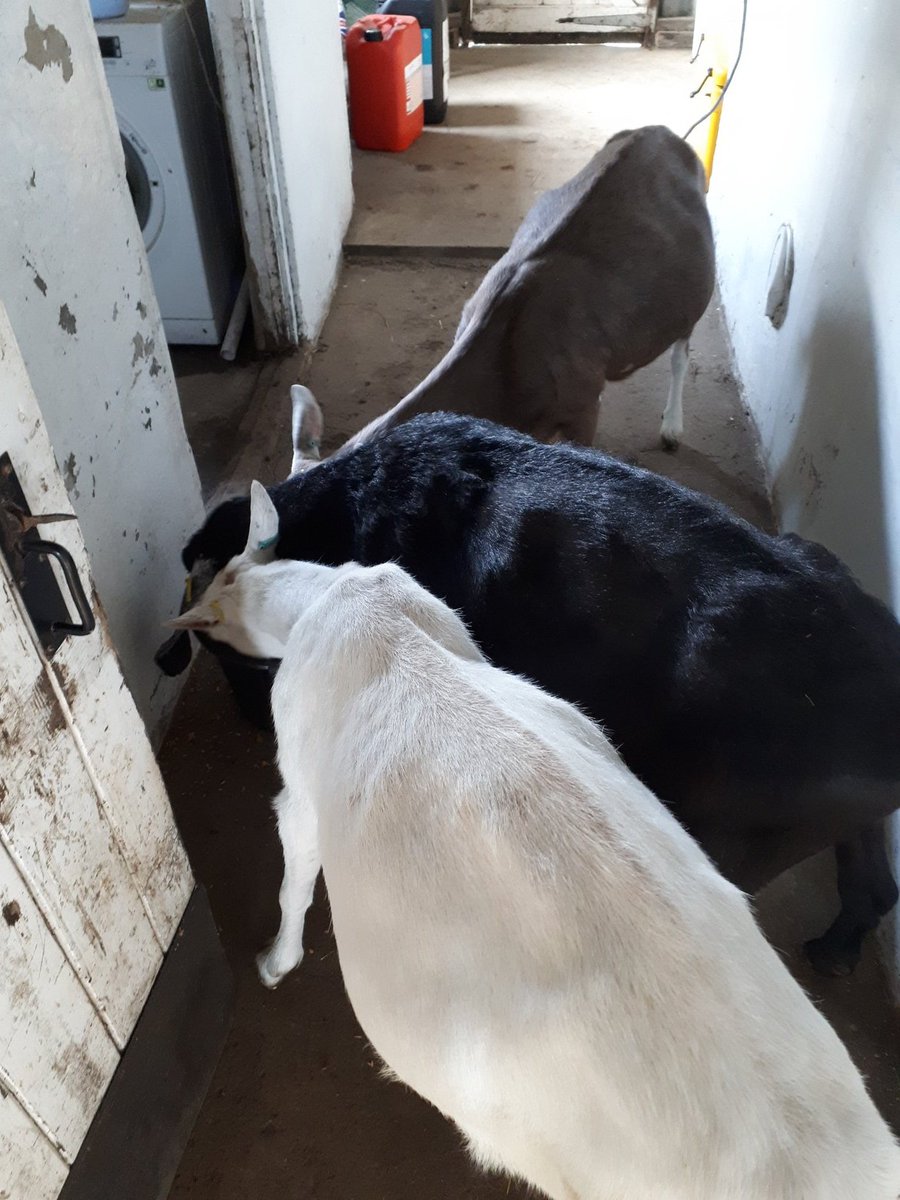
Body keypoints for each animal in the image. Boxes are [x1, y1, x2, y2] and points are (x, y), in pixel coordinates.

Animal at [170, 414, 900, 978]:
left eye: (233, 661)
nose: (252, 721)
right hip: (845, 827)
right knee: (876, 888)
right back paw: (837, 950)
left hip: (717, 844)